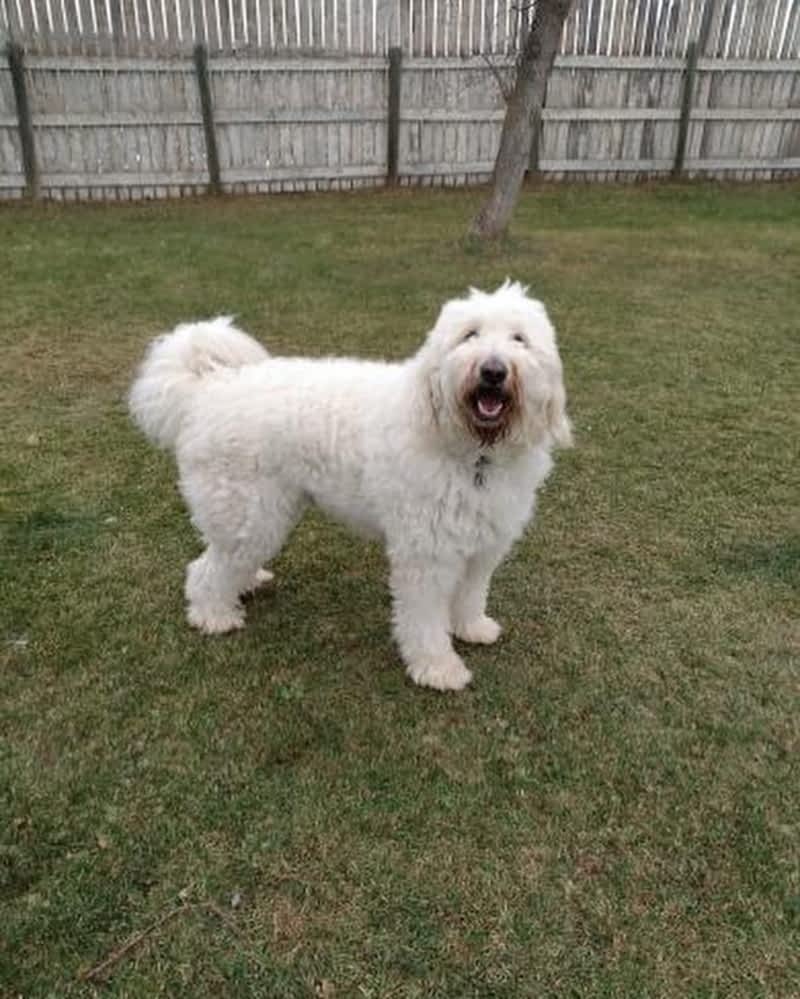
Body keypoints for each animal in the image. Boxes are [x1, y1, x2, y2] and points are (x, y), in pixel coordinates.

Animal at [128, 280, 572, 688]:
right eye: (470, 335)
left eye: (519, 339)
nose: (493, 371)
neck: (471, 450)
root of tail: (208, 387)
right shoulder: (425, 554)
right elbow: (425, 620)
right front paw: (438, 668)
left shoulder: (482, 545)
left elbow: (470, 594)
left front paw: (471, 628)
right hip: (248, 512)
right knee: (205, 569)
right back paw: (214, 615)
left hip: (263, 512)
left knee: (225, 558)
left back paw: (245, 582)